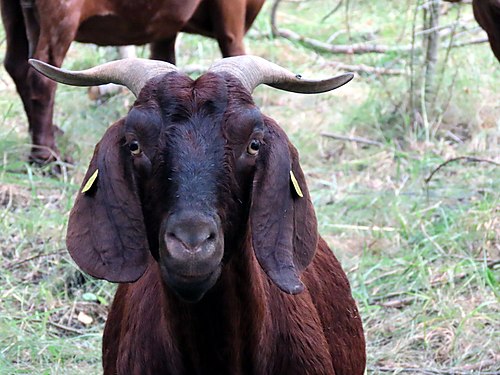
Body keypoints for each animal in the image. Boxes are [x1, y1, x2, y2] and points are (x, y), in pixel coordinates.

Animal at [0, 0, 266, 164]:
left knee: (18, 65)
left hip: (15, 13)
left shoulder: (166, 25)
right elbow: (234, 49)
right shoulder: (230, 12)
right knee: (40, 78)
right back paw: (45, 155)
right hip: (61, 17)